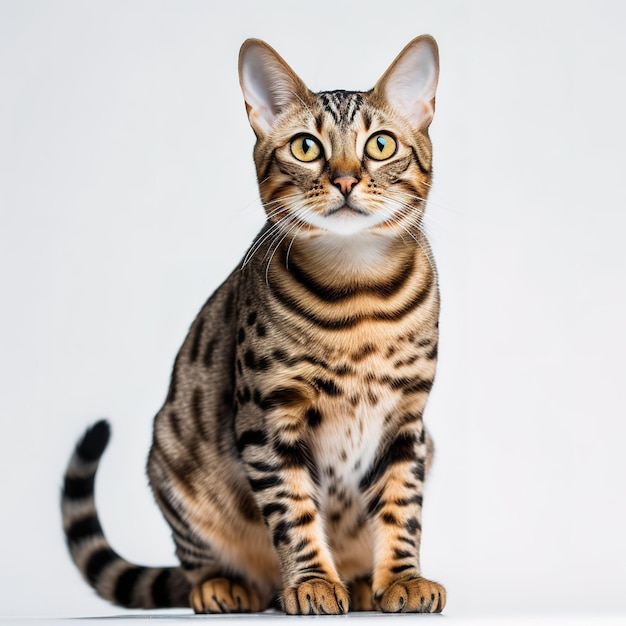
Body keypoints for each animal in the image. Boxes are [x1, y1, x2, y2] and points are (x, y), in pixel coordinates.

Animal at [59, 34, 444, 616]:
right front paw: (312, 581)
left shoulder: (407, 419)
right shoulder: (269, 417)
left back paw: (359, 582)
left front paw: (402, 578)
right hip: (173, 459)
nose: (345, 178)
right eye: (306, 148)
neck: (359, 292)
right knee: (203, 565)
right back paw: (229, 586)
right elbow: (293, 510)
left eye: (380, 145)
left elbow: (402, 508)